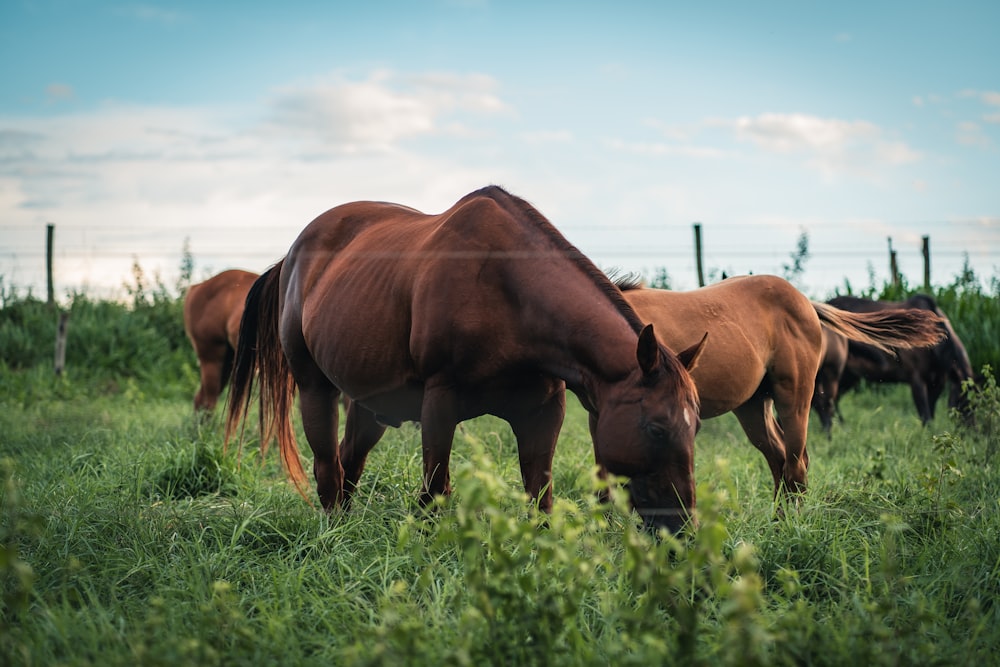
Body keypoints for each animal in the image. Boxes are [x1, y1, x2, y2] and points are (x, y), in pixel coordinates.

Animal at [226, 187, 704, 532]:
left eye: (695, 426)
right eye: (656, 428)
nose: (682, 526)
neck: (507, 293)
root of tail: (290, 257)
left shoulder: (543, 411)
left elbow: (539, 494)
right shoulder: (440, 401)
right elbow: (434, 490)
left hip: (371, 404)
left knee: (349, 463)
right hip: (315, 388)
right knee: (328, 468)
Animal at [816, 294, 972, 428]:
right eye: (965, 402)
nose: (973, 434)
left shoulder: (937, 382)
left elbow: (930, 414)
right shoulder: (916, 380)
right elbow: (925, 415)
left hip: (849, 376)